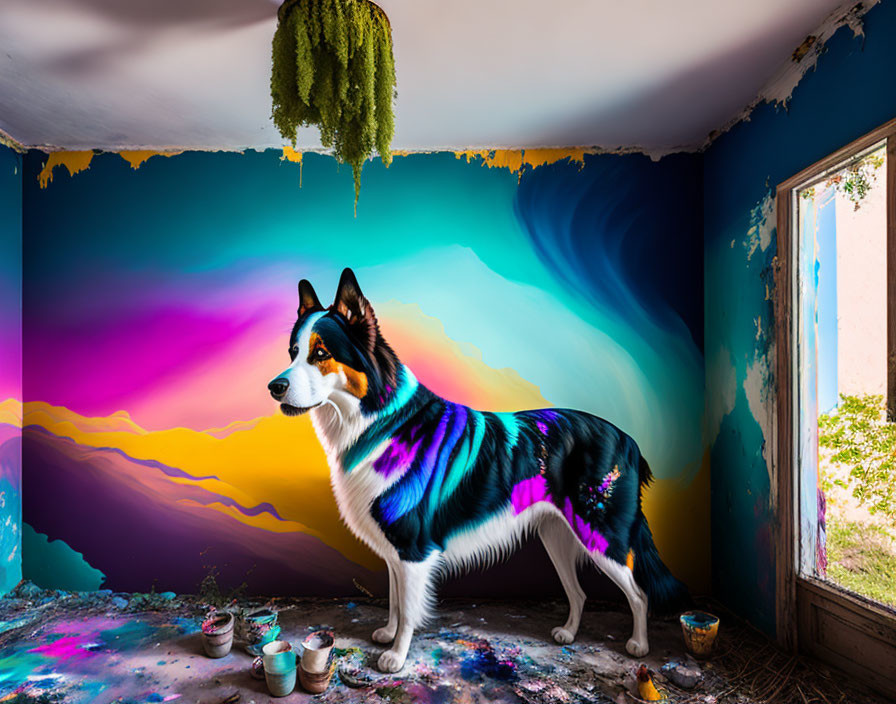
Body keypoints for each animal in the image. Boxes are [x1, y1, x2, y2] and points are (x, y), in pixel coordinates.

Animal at [266, 268, 688, 672]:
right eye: (292, 352)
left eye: (321, 353)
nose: (274, 386)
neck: (380, 420)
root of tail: (628, 440)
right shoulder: (395, 550)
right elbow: (394, 600)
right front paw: (387, 633)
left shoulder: (413, 549)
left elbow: (409, 609)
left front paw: (396, 658)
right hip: (556, 535)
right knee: (579, 591)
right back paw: (568, 633)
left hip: (602, 535)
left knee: (639, 593)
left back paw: (639, 646)